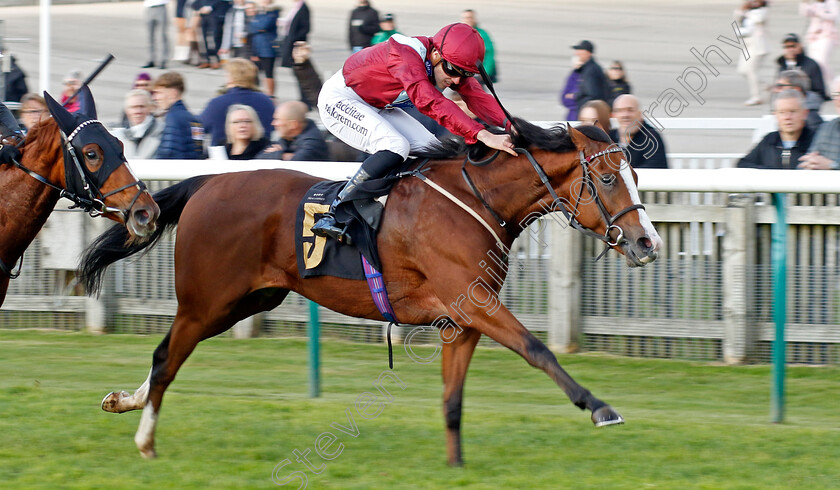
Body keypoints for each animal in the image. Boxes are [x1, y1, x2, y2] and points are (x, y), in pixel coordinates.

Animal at [82, 119, 668, 464]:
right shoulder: (477, 304)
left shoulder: (461, 320)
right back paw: (145, 438)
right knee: (167, 356)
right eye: (609, 179)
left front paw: (456, 466)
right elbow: (538, 349)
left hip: (245, 300)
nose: (648, 242)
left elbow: (453, 400)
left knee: (170, 355)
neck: (477, 199)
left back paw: (123, 401)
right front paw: (599, 407)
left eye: (636, 174)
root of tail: (207, 182)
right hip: (207, 299)